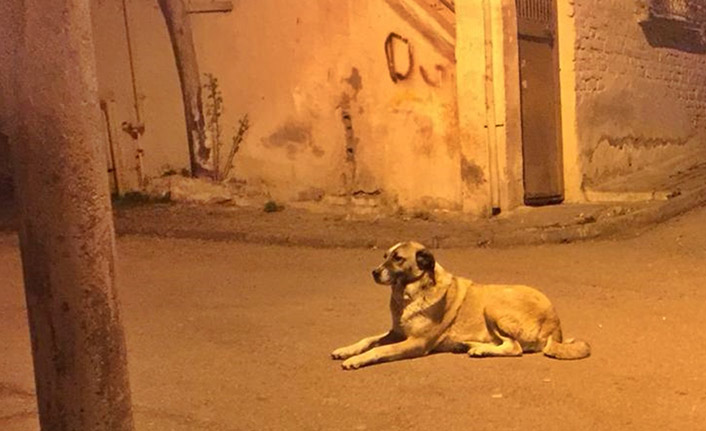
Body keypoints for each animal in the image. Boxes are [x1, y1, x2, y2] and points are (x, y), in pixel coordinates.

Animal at [330, 241, 588, 370]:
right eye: (385, 256)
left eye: (398, 258)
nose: (374, 272)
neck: (409, 295)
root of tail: (557, 328)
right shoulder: (397, 332)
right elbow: (368, 339)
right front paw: (346, 350)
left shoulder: (416, 342)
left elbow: (379, 349)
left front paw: (356, 360)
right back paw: (469, 345)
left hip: (492, 305)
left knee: (514, 348)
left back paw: (479, 349)